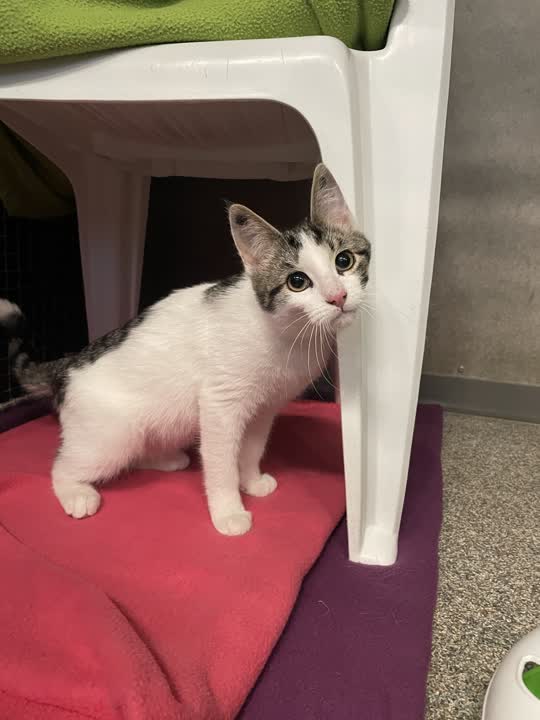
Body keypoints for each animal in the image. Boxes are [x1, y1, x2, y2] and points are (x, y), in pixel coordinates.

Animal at [0, 164, 370, 536]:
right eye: (297, 282)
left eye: (344, 261)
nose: (338, 297)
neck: (286, 332)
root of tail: (70, 361)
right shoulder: (220, 404)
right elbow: (221, 462)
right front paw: (228, 512)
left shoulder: (265, 407)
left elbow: (251, 448)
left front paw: (251, 481)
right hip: (112, 436)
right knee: (63, 465)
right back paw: (77, 493)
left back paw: (165, 458)